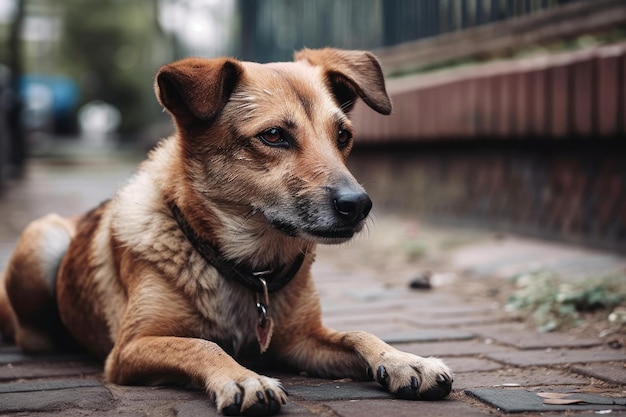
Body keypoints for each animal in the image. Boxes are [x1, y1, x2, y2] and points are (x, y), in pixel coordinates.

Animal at [0, 48, 448, 412]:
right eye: (273, 135)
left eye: (343, 135)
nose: (358, 205)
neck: (251, 268)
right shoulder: (131, 348)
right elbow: (204, 344)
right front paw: (243, 377)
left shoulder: (302, 341)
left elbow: (358, 333)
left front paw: (405, 360)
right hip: (43, 241)